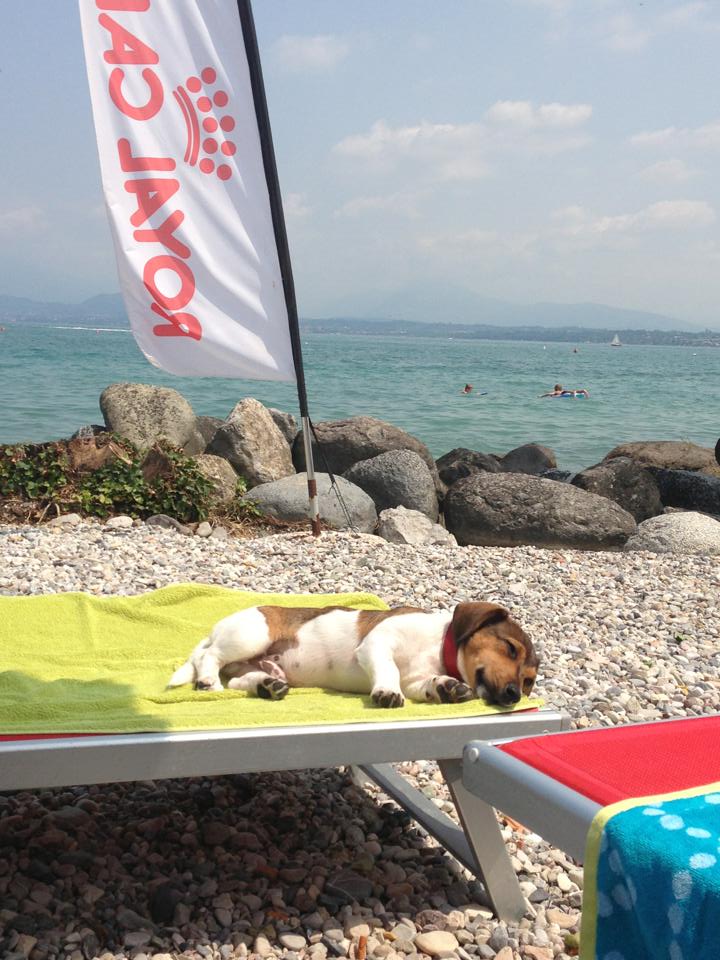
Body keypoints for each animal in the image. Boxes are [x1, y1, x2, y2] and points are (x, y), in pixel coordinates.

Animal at [167, 602, 539, 708]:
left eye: (529, 682)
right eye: (510, 648)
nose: (513, 695)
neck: (438, 645)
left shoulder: (416, 681)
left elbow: (425, 684)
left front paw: (446, 687)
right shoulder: (378, 643)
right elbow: (388, 671)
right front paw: (387, 691)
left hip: (257, 663)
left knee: (238, 680)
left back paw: (266, 685)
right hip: (252, 635)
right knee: (209, 658)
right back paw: (207, 681)